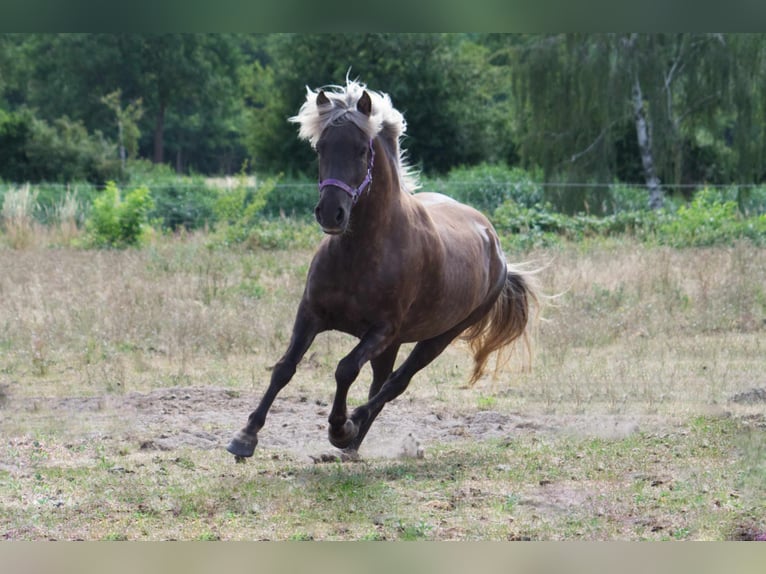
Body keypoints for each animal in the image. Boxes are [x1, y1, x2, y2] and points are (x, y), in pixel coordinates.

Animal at [228, 80, 540, 464]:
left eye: (362, 150)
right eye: (320, 148)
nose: (331, 213)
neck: (362, 252)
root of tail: (494, 243)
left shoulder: (381, 329)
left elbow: (345, 369)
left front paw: (339, 426)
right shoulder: (311, 313)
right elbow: (285, 367)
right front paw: (245, 437)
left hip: (437, 337)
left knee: (395, 384)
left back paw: (351, 429)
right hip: (395, 343)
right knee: (382, 382)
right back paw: (352, 445)